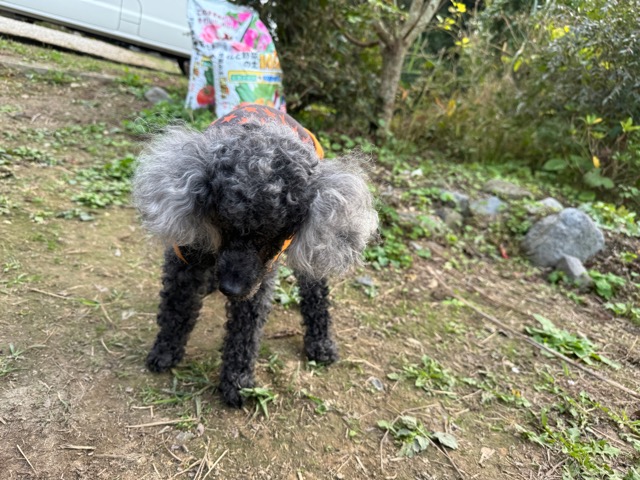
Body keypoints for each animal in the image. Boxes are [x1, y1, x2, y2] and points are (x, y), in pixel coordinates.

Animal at [132, 105, 378, 407]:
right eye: (223, 223)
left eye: (275, 235)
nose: (231, 288)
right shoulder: (186, 256)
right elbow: (176, 307)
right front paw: (166, 350)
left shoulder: (258, 278)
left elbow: (245, 331)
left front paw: (237, 382)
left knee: (315, 293)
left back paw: (320, 343)